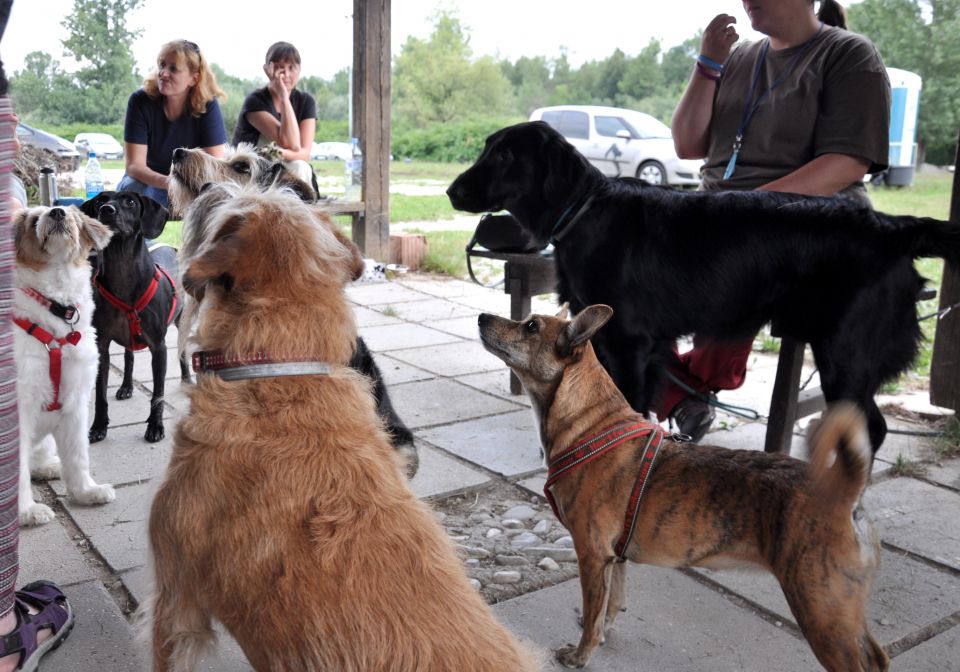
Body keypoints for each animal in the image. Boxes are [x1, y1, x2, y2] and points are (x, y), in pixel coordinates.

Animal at [12, 205, 116, 524]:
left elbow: (78, 454)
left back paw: (49, 466)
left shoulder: (76, 401)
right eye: (34, 220)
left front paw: (86, 492)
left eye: (72, 215)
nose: (57, 212)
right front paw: (26, 511)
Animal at [81, 192, 190, 444]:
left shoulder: (159, 348)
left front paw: (155, 426)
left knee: (182, 352)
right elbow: (100, 395)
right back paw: (126, 386)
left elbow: (158, 394)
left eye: (130, 202)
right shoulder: (102, 346)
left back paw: (187, 380)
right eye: (99, 201)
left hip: (182, 322)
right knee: (129, 357)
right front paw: (98, 426)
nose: (107, 210)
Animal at [448, 123, 960, 454]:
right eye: (489, 148)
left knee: (872, 429)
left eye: (505, 156)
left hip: (845, 358)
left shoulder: (629, 342)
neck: (585, 208)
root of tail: (888, 226)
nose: (452, 191)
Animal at [478, 306, 884, 672]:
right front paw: (603, 630)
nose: (482, 317)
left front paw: (580, 655)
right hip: (843, 608)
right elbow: (611, 603)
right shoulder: (614, 558)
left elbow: (595, 612)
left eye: (531, 326)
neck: (593, 424)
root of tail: (843, 491)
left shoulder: (592, 556)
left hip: (822, 612)